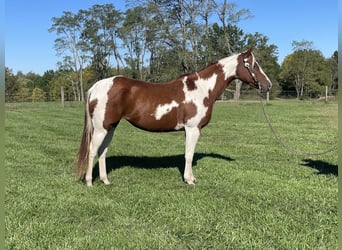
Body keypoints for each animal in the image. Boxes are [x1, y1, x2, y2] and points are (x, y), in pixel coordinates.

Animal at [76, 48, 272, 186]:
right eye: (254, 65)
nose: (268, 85)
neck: (202, 89)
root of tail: (95, 87)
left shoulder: (188, 130)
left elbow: (188, 154)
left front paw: (191, 178)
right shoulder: (193, 129)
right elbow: (189, 155)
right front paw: (189, 180)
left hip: (111, 127)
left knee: (102, 151)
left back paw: (105, 180)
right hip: (101, 128)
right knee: (92, 151)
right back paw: (89, 182)